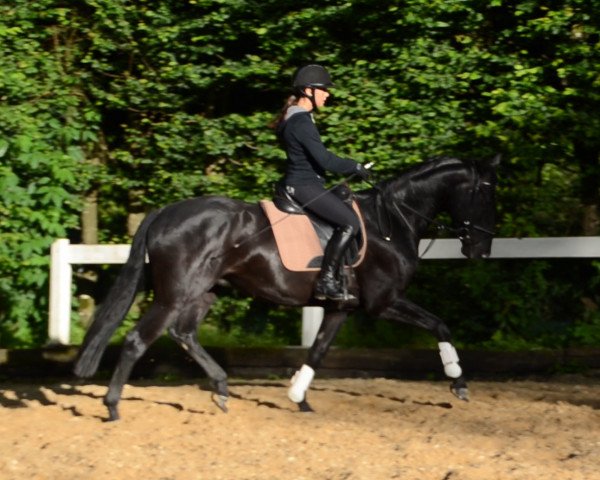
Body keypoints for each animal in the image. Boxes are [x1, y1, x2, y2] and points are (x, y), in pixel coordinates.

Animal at [72, 157, 500, 420]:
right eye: (484, 192)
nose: (481, 249)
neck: (389, 223)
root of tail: (165, 212)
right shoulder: (384, 302)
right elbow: (439, 324)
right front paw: (458, 382)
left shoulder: (341, 308)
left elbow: (318, 351)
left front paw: (299, 398)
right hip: (174, 294)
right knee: (137, 340)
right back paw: (113, 407)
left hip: (203, 292)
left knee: (184, 333)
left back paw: (222, 389)